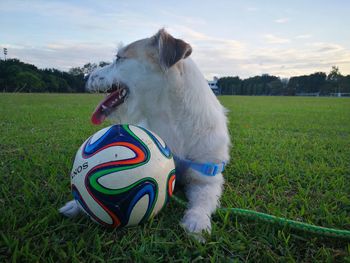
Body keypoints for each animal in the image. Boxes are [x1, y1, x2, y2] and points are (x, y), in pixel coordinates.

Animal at [59, 28, 231, 239]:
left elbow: (204, 200)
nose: (86, 77)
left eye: (119, 58)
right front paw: (76, 205)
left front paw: (197, 221)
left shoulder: (206, 178)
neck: (169, 119)